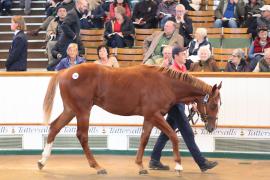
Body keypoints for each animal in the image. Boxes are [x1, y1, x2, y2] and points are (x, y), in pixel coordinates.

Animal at [37, 63, 221, 174]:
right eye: (213, 105)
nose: (212, 127)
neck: (165, 84)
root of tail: (66, 71)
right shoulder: (154, 115)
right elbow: (173, 136)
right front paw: (178, 165)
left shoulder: (149, 118)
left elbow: (144, 139)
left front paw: (140, 166)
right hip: (82, 111)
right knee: (82, 136)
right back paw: (97, 167)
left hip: (71, 110)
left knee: (54, 127)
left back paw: (42, 161)